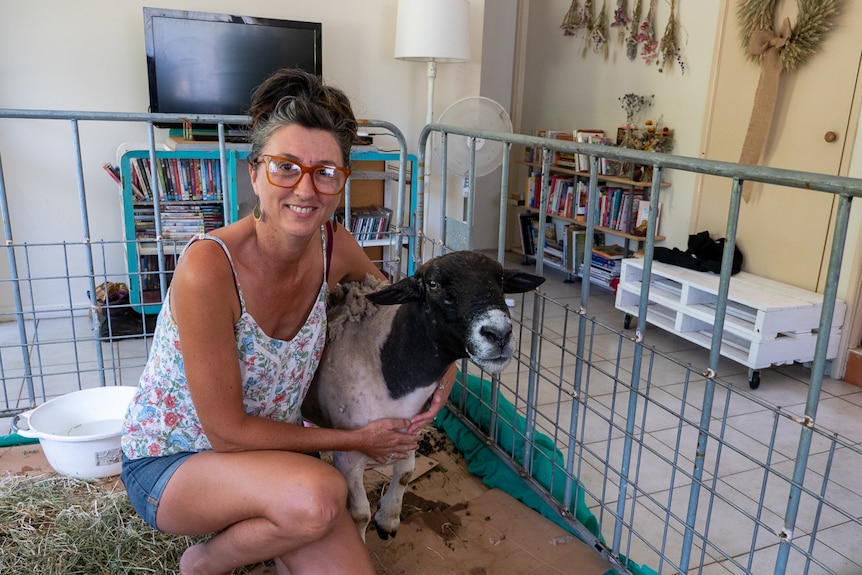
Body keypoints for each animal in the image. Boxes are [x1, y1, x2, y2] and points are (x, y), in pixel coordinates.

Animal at [302, 251, 548, 540]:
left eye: (499, 278)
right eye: (433, 284)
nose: (499, 335)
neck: (387, 363)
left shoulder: (411, 432)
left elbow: (406, 473)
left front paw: (388, 520)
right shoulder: (348, 455)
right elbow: (360, 514)